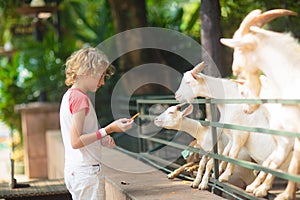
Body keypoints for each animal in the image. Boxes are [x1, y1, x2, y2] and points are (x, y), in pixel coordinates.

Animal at [176, 63, 292, 197]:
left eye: (188, 82)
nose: (176, 95)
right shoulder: (230, 135)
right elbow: (226, 153)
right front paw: (219, 170)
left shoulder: (240, 134)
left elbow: (232, 154)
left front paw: (224, 176)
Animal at [220, 8, 300, 199]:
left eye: (240, 48)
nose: (245, 109)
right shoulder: (285, 141)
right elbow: (271, 163)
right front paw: (258, 187)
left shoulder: (289, 138)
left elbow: (284, 165)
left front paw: (281, 194)